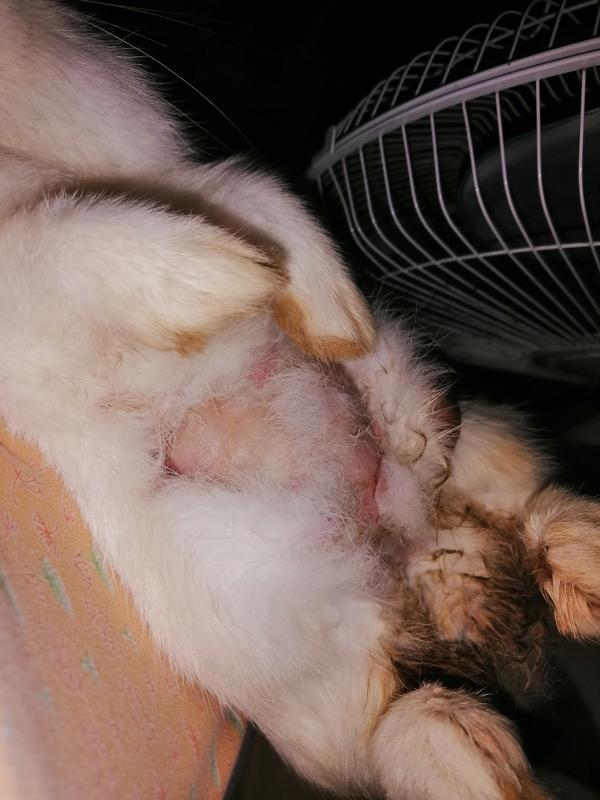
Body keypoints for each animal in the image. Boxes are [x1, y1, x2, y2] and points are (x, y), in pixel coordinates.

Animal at [0, 2, 599, 798]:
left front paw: (327, 312)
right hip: (310, 654)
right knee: (395, 725)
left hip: (471, 448)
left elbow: (247, 190)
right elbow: (65, 237)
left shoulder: (177, 173)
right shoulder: (44, 257)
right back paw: (479, 752)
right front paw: (218, 275)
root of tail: (405, 552)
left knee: (524, 513)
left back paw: (572, 561)